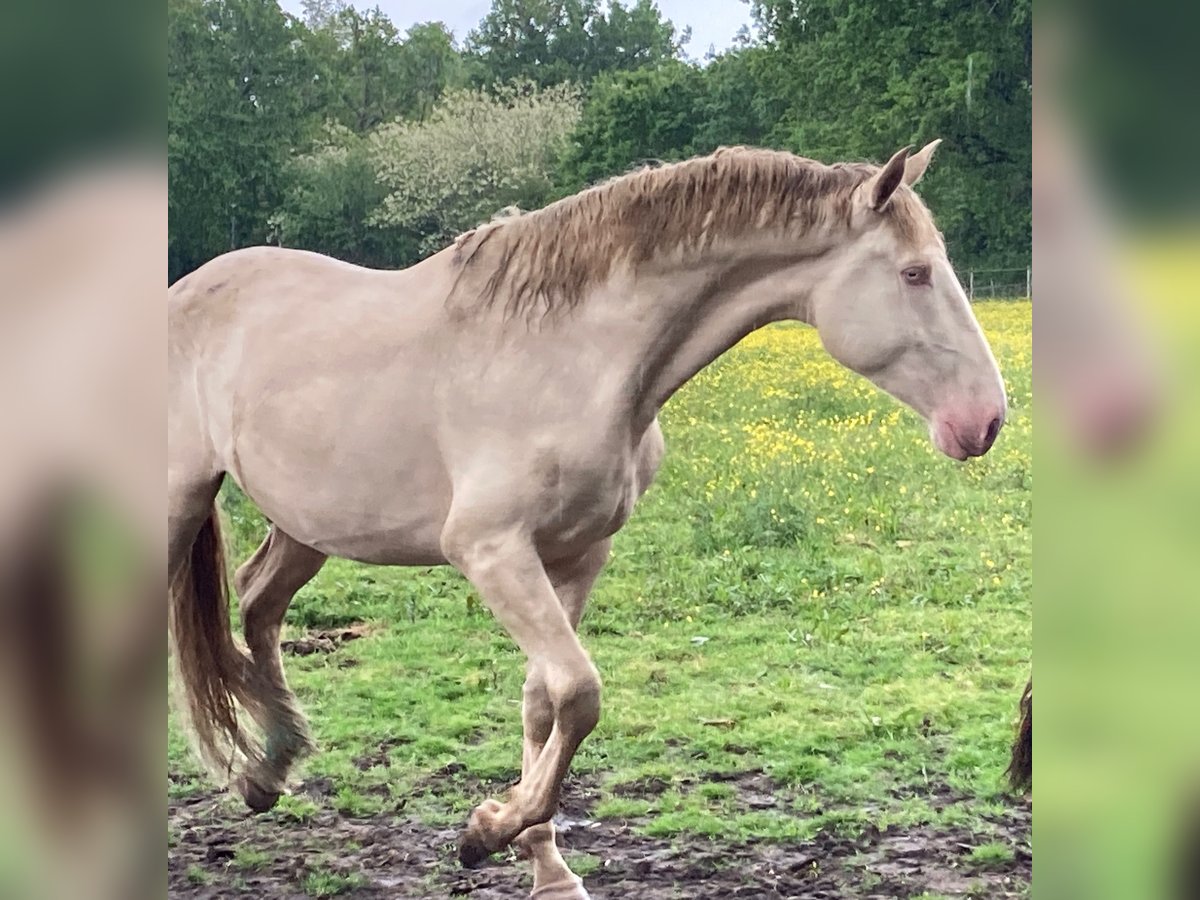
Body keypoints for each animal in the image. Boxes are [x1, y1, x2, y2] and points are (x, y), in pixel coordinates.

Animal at [169, 144, 1008, 897]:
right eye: (914, 273)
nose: (987, 421)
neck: (577, 355)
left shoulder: (578, 553)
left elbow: (546, 703)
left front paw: (541, 863)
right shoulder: (492, 551)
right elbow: (580, 691)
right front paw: (488, 832)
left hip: (308, 525)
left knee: (259, 602)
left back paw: (269, 769)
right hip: (182, 503)